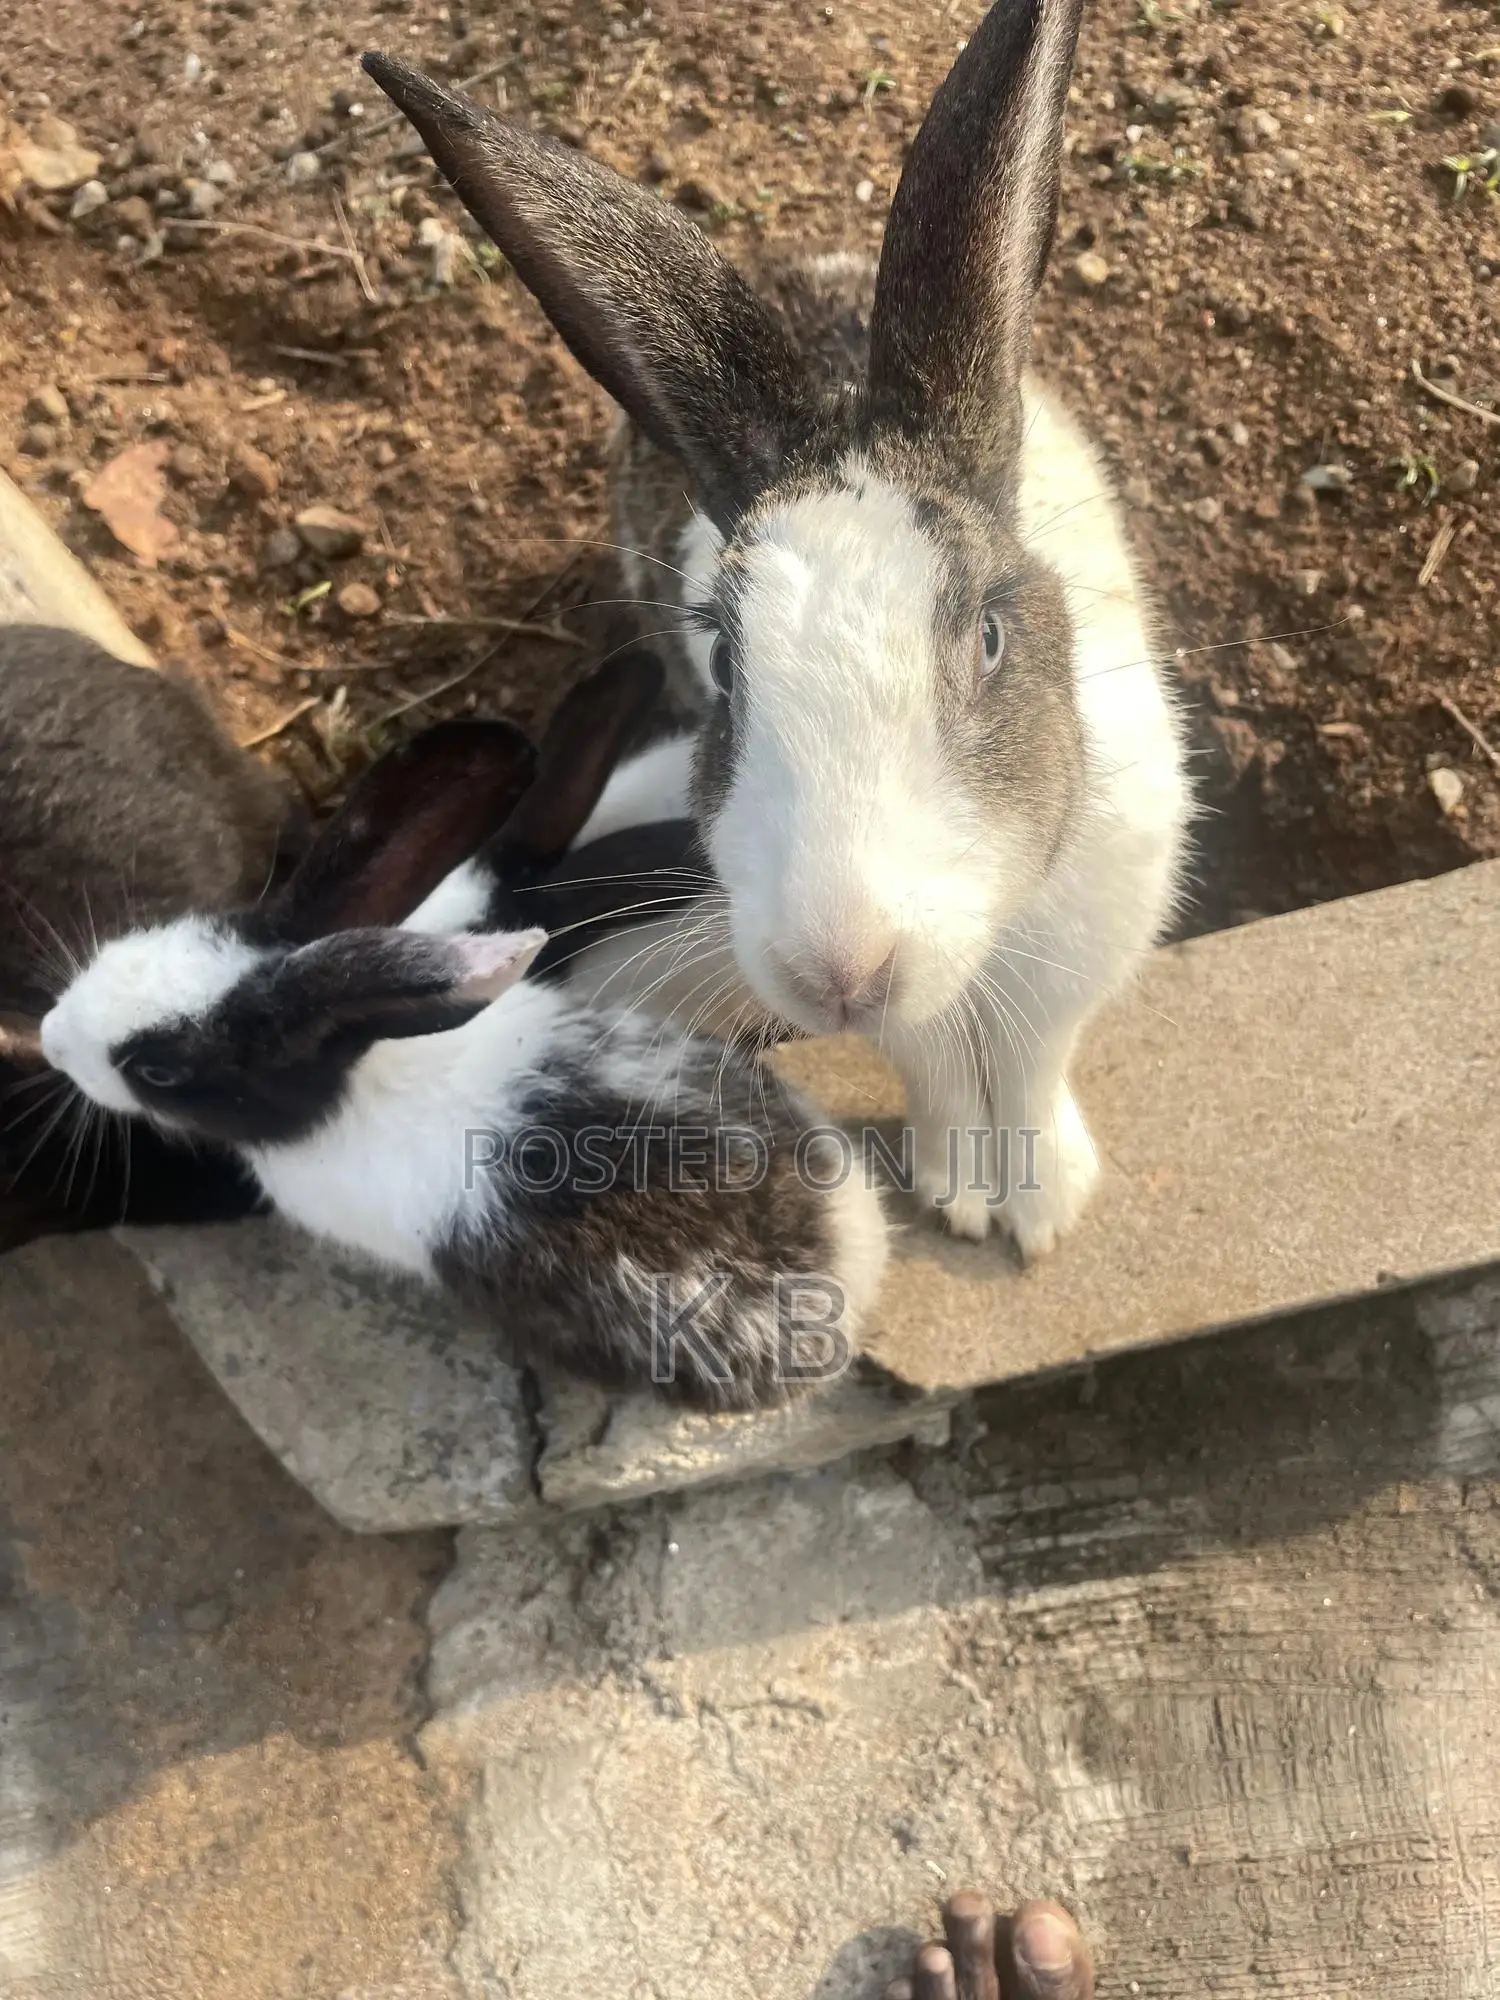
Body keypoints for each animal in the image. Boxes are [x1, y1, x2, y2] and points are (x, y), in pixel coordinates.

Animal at [362, 1, 1192, 1262]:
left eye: (990, 640)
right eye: (722, 662)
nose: (839, 965)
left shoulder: (1086, 927)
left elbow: (1034, 1066)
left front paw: (1043, 1209)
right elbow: (939, 1070)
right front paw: (960, 1191)